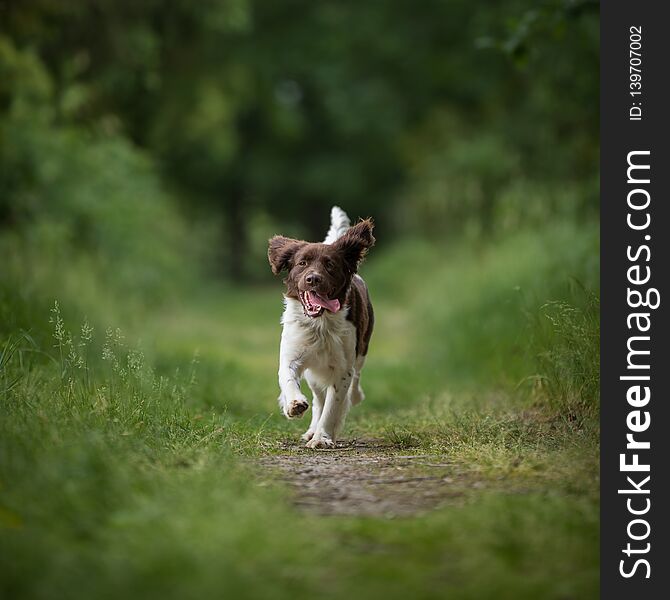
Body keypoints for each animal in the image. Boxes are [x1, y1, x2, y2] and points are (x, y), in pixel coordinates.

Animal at [268, 209, 376, 448]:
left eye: (330, 265)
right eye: (302, 263)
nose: (313, 279)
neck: (320, 324)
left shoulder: (343, 367)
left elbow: (333, 404)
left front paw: (322, 437)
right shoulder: (293, 354)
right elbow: (288, 379)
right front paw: (294, 405)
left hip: (361, 351)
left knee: (354, 379)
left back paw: (354, 397)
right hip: (314, 372)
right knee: (318, 398)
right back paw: (310, 429)